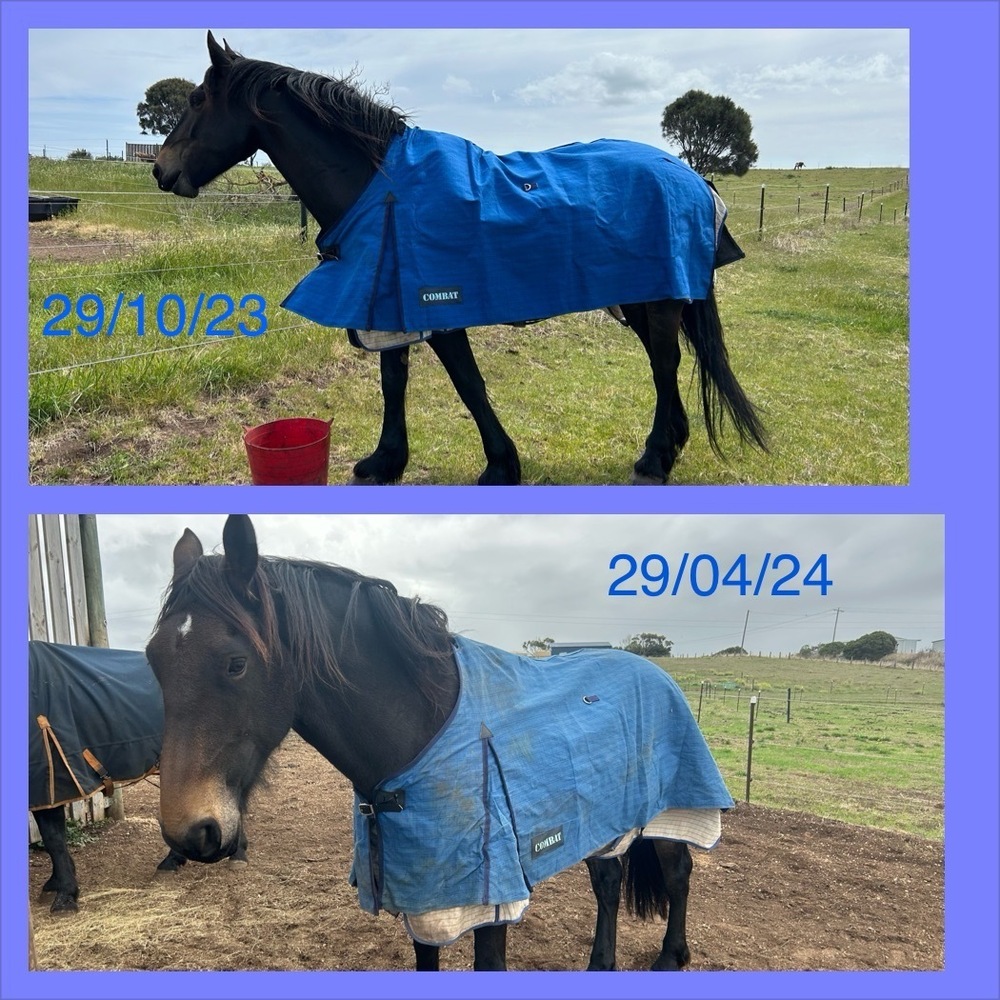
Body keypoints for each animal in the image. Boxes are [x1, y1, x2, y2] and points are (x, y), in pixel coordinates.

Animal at [28, 640, 247, 914]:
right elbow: (51, 838)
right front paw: (55, 885)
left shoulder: (50, 781)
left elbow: (53, 839)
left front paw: (66, 895)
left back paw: (234, 855)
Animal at [146, 515, 734, 971]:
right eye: (153, 660)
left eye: (236, 663)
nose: (188, 832)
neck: (423, 732)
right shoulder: (421, 895)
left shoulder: (491, 900)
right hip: (600, 817)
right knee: (609, 881)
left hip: (671, 808)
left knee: (678, 875)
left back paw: (670, 957)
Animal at [152, 32, 767, 485]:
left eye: (197, 100)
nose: (161, 170)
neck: (383, 187)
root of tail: (691, 175)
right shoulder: (388, 301)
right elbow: (393, 380)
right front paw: (385, 461)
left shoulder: (437, 311)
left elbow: (468, 385)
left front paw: (501, 465)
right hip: (641, 299)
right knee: (668, 366)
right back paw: (669, 445)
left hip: (658, 301)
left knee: (666, 366)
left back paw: (655, 459)